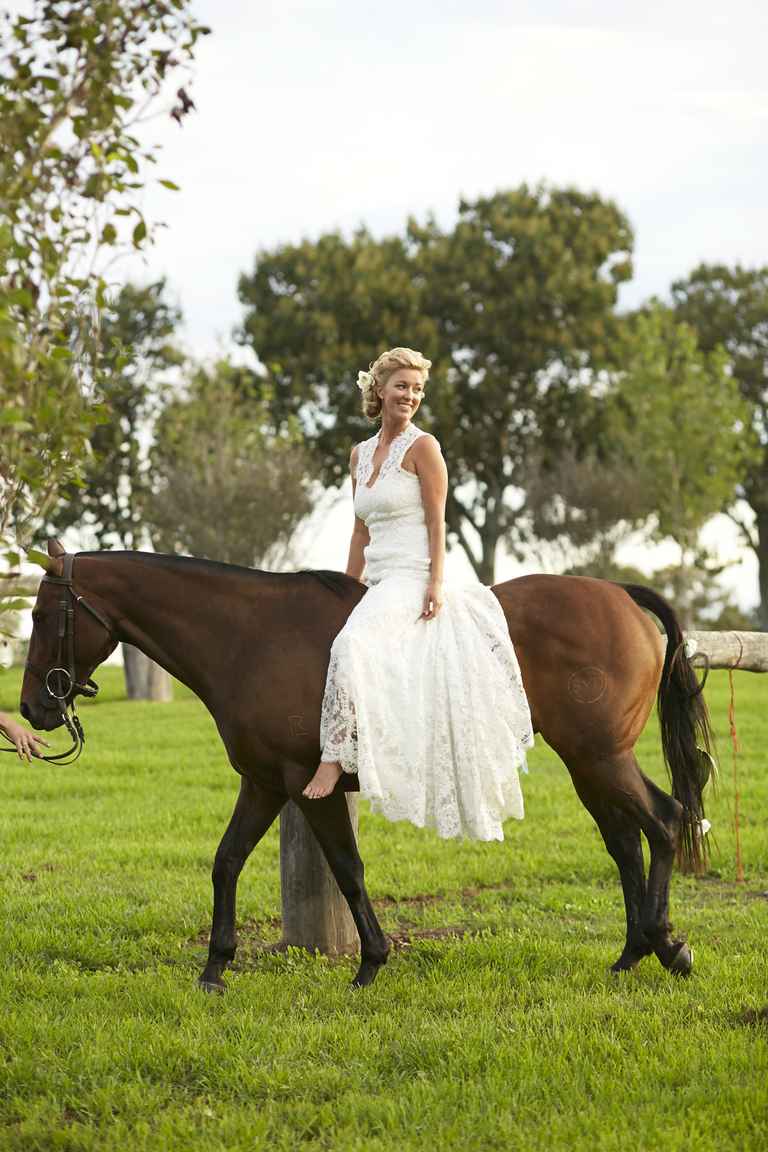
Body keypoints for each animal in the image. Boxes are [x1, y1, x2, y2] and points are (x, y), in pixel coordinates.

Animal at [19, 539, 713, 990]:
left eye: (41, 614)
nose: (31, 707)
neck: (252, 636)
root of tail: (619, 595)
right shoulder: (264, 782)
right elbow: (227, 861)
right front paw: (216, 968)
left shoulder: (310, 785)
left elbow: (348, 870)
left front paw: (370, 964)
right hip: (589, 763)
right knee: (625, 841)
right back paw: (633, 953)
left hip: (601, 757)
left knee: (664, 820)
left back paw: (667, 945)